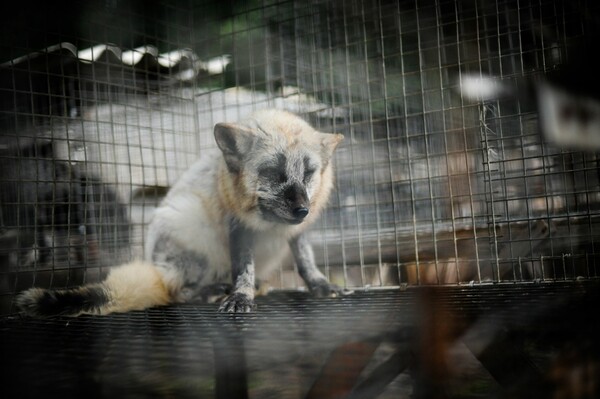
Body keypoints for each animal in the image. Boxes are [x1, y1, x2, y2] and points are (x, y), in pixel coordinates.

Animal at [16, 108, 344, 316]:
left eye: (309, 173)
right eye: (274, 173)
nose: (302, 209)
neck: (271, 225)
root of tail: (158, 268)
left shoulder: (299, 232)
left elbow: (305, 261)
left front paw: (320, 285)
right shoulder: (237, 227)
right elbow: (243, 268)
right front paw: (240, 296)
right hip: (189, 230)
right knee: (177, 293)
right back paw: (212, 290)